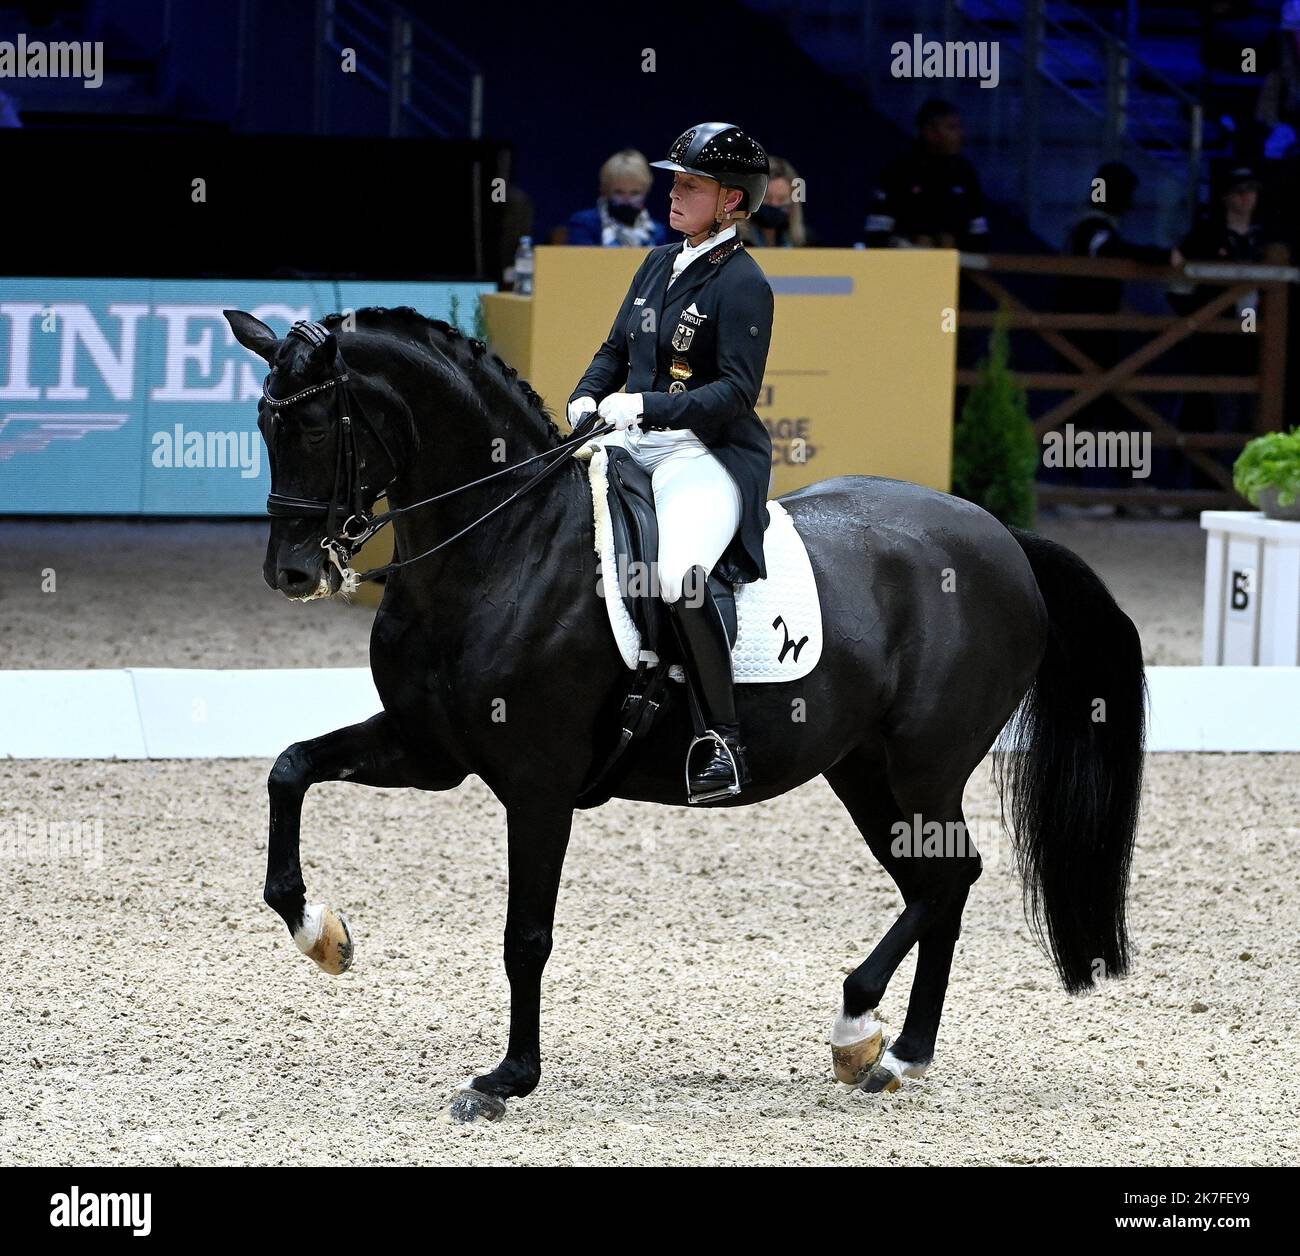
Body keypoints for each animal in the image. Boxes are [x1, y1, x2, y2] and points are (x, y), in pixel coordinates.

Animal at [226, 309, 1149, 1123]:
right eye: (265, 425)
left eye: (317, 427)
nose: (292, 572)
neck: (504, 546)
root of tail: (1004, 540)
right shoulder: (428, 750)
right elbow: (290, 769)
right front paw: (320, 933)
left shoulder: (537, 784)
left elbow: (526, 935)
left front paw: (506, 1080)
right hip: (863, 770)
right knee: (935, 882)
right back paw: (892, 1052)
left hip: (924, 764)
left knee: (950, 876)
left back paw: (864, 1031)